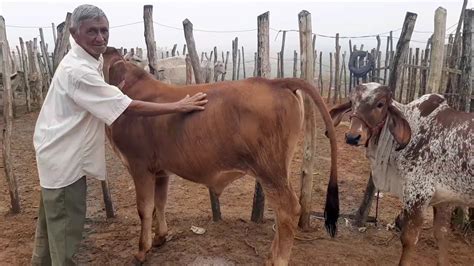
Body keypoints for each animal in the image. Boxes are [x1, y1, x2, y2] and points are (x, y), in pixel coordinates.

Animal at [102, 46, 338, 264]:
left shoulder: (138, 165)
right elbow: (160, 203)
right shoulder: (161, 170)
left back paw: (277, 260)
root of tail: (275, 82)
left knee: (288, 210)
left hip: (270, 170)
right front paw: (160, 237)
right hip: (280, 170)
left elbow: (144, 208)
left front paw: (142, 250)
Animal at [330, 83, 474, 266]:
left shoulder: (418, 195)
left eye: (380, 104)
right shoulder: (444, 199)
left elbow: (408, 239)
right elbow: (441, 235)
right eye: (351, 101)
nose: (352, 137)